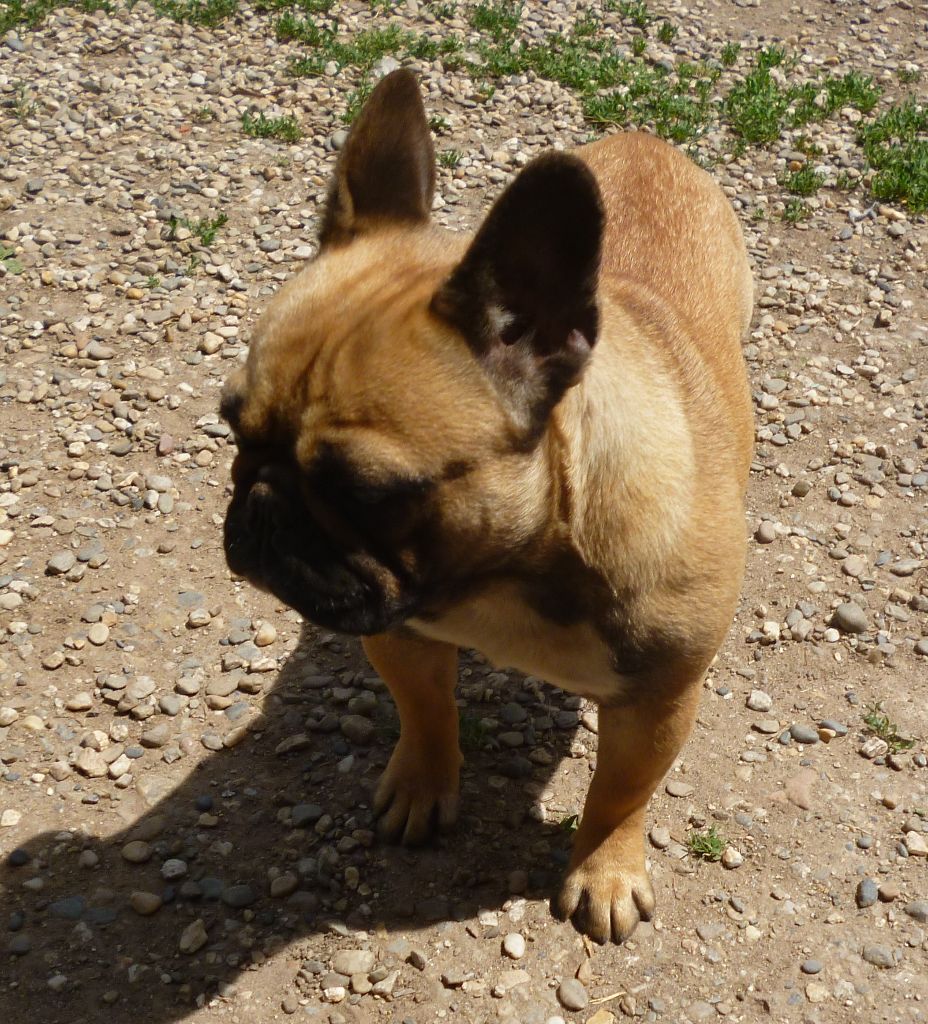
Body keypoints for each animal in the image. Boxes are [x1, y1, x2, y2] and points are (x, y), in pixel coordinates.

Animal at [220, 69, 753, 944]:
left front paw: (603, 870)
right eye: (229, 425)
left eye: (365, 491)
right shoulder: (400, 630)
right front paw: (421, 785)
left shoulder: (658, 700)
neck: (510, 568)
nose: (261, 503)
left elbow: (620, 793)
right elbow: (426, 713)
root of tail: (646, 140)